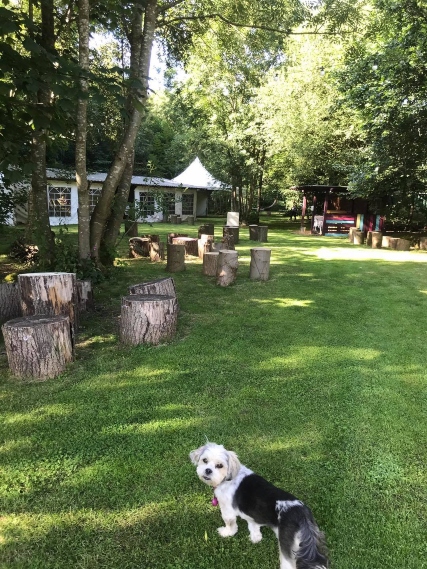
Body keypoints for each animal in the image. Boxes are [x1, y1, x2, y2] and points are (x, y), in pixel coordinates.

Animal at [189, 444, 330, 568]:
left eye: (219, 466)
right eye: (205, 460)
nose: (208, 470)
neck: (228, 478)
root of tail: (302, 514)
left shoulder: (227, 508)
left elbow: (230, 523)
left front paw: (227, 532)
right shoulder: (252, 514)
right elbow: (253, 524)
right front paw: (255, 537)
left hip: (288, 546)